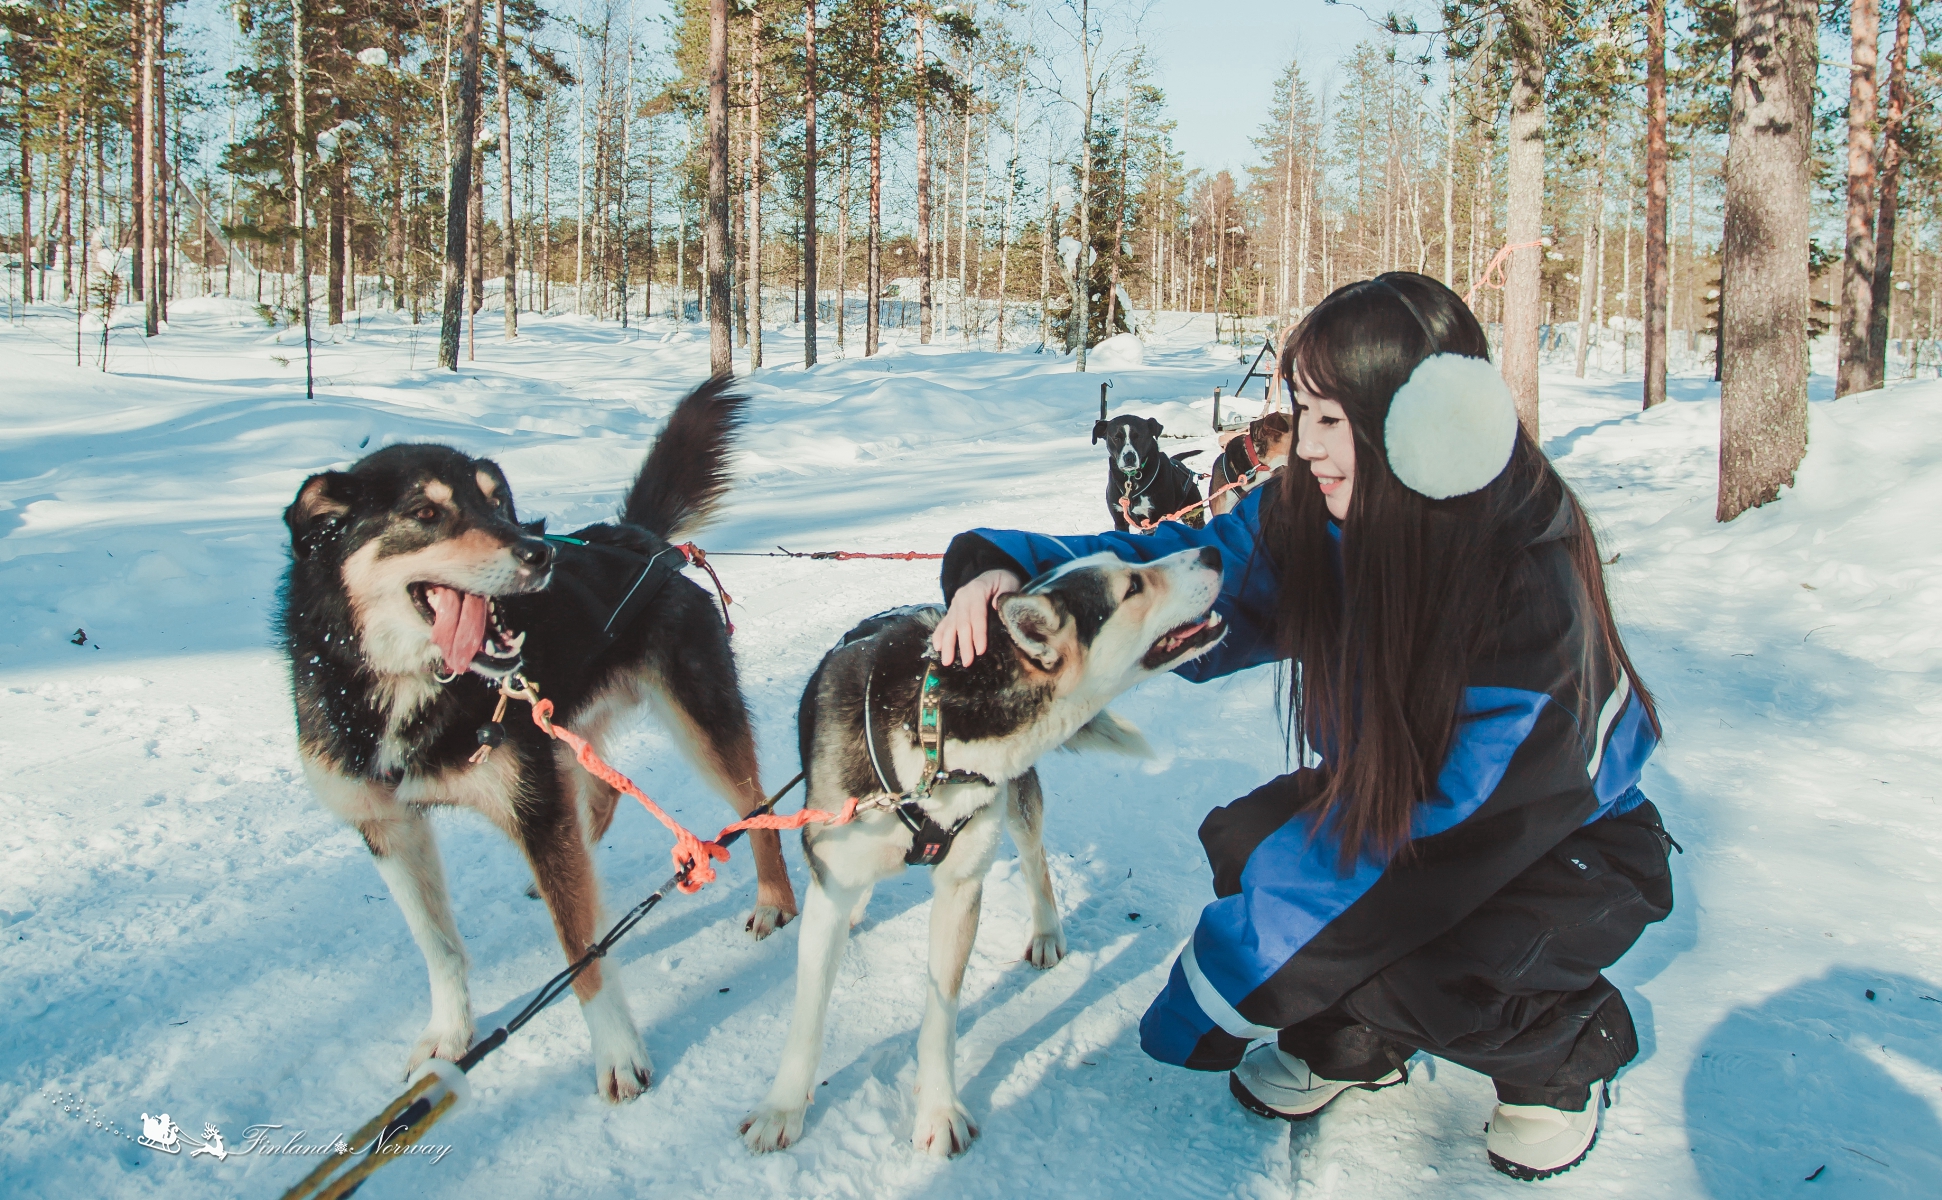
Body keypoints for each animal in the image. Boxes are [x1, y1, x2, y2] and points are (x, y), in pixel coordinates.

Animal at [277, 378, 792, 1095]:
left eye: (497, 503)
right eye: (425, 512)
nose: (538, 551)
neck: (415, 690)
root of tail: (639, 540)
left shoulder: (536, 809)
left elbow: (581, 951)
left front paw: (618, 1053)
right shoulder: (388, 830)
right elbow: (439, 947)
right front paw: (448, 1037)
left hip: (698, 724)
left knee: (756, 806)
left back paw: (774, 902)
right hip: (564, 734)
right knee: (601, 798)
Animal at [741, 547, 1227, 1157]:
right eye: (1133, 585)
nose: (1212, 551)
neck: (934, 730)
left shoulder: (960, 888)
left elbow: (940, 1015)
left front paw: (938, 1109)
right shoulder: (830, 887)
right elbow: (807, 1015)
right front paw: (782, 1108)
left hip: (1017, 806)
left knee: (1036, 863)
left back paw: (1045, 932)